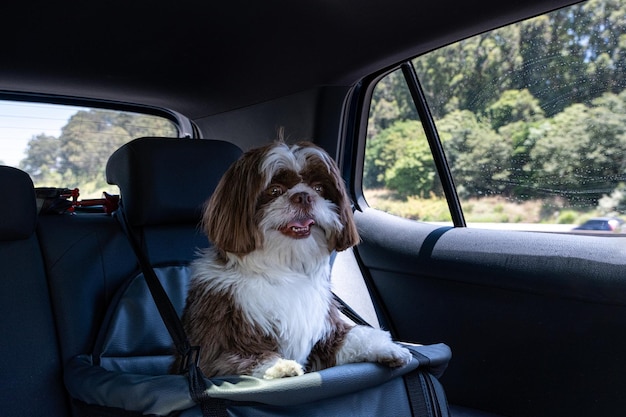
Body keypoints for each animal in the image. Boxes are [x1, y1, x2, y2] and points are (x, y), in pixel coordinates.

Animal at [176, 141, 410, 378]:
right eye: (274, 190)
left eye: (319, 188)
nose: (303, 196)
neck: (284, 267)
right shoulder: (216, 342)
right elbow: (235, 358)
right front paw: (281, 367)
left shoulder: (324, 331)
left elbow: (351, 337)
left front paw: (389, 348)